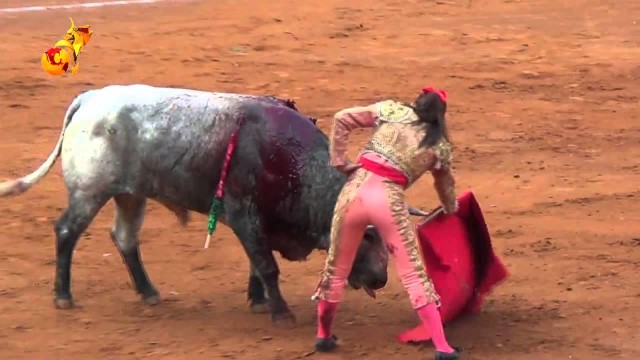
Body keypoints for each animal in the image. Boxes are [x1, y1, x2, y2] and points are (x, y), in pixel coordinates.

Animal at [0, 84, 390, 324]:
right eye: (367, 237)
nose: (382, 279)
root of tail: (91, 98)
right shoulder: (244, 215)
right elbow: (266, 265)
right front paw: (280, 313)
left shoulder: (261, 223)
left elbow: (256, 264)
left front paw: (258, 301)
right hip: (89, 191)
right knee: (67, 231)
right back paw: (63, 296)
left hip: (131, 194)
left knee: (125, 237)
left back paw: (149, 292)